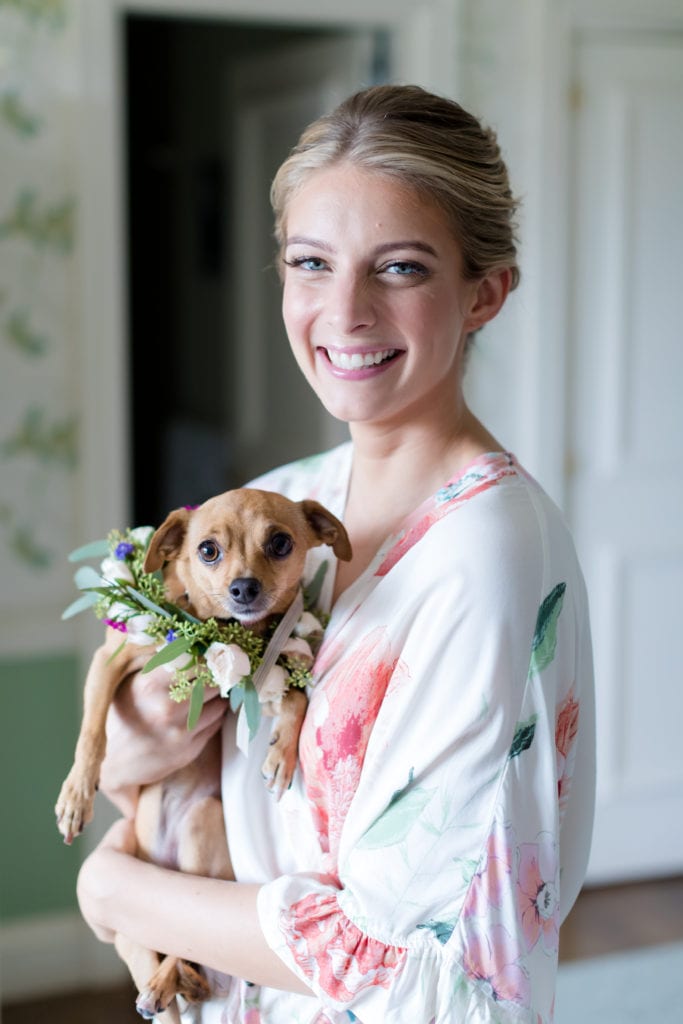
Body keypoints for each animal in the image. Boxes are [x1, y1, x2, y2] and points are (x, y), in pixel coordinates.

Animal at [55, 489, 350, 1024]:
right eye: (208, 550)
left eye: (280, 543)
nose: (244, 588)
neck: (219, 627)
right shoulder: (110, 661)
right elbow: (93, 731)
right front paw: (76, 795)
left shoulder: (270, 677)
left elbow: (297, 699)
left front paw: (282, 753)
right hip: (133, 913)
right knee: (160, 954)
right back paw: (165, 987)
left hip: (200, 827)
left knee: (186, 949)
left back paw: (173, 982)